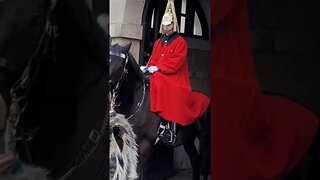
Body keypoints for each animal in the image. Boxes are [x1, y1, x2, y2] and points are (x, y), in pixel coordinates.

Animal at [109, 43, 211, 179]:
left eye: (120, 67)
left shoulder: (146, 146)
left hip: (204, 139)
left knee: (203, 164)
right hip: (188, 140)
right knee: (195, 161)